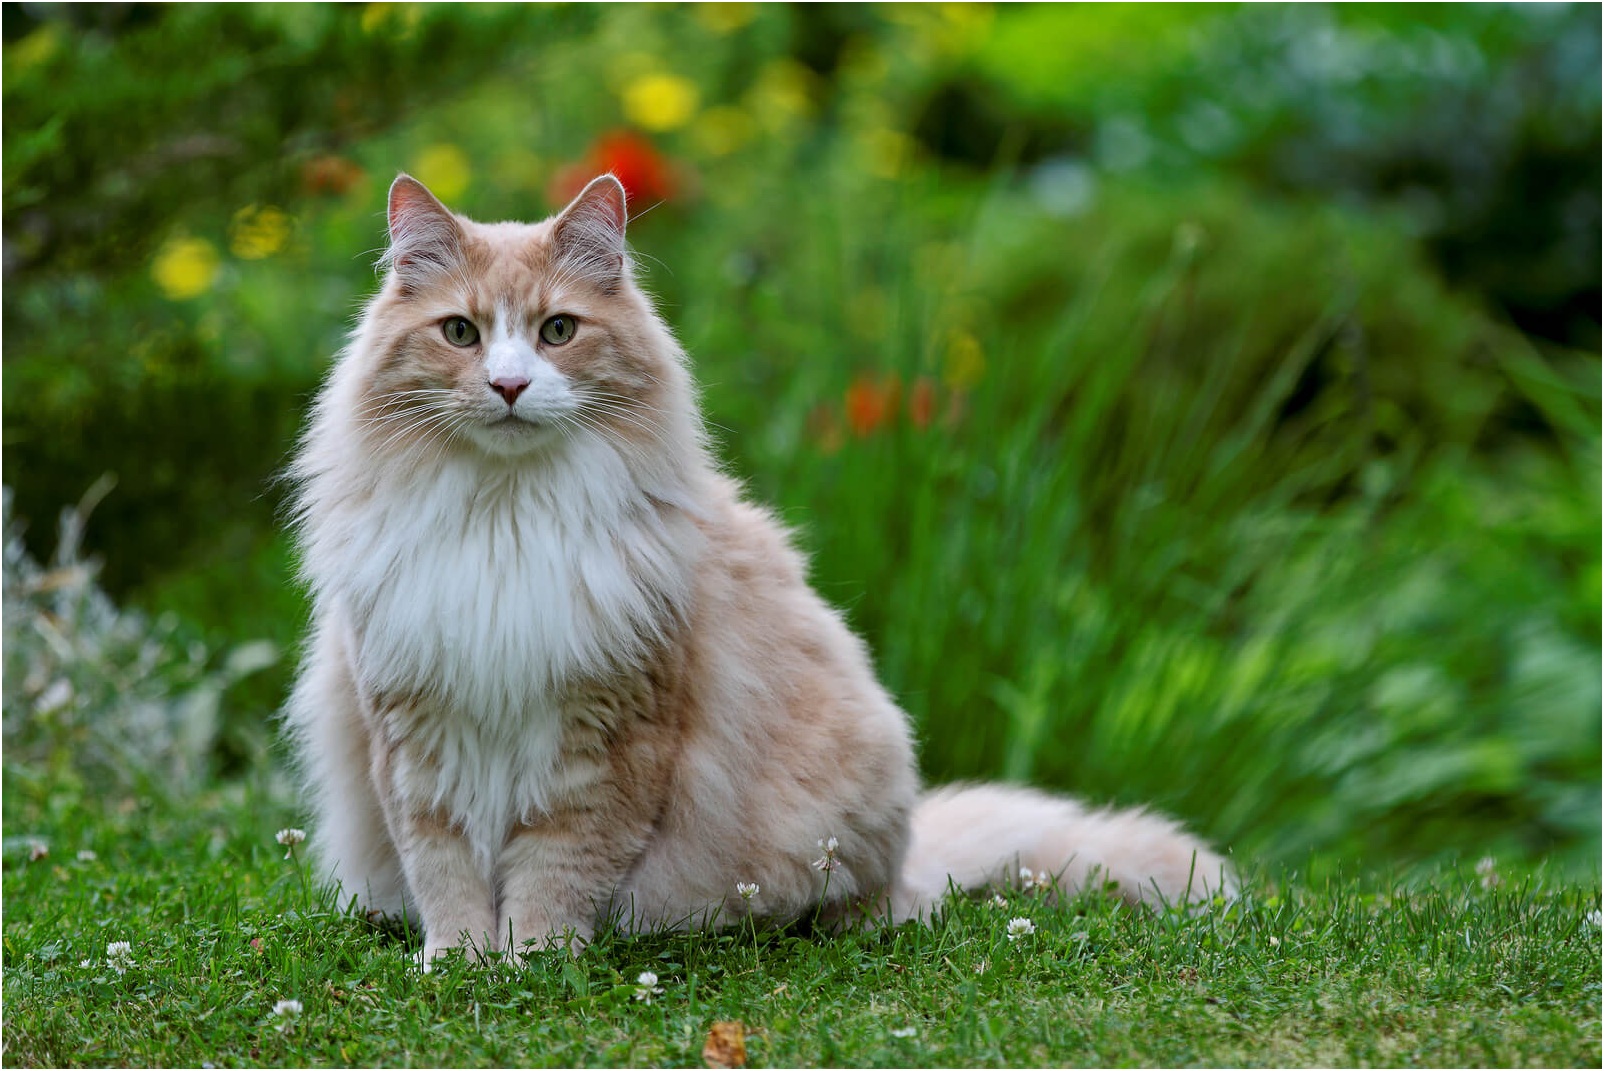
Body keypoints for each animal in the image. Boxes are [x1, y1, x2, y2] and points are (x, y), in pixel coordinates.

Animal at [282, 173, 1231, 961]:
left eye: (556, 331)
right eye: (461, 333)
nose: (510, 386)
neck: (504, 521)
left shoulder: (606, 739)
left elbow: (555, 870)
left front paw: (532, 960)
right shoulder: (413, 733)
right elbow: (443, 871)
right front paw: (459, 963)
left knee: (882, 899)